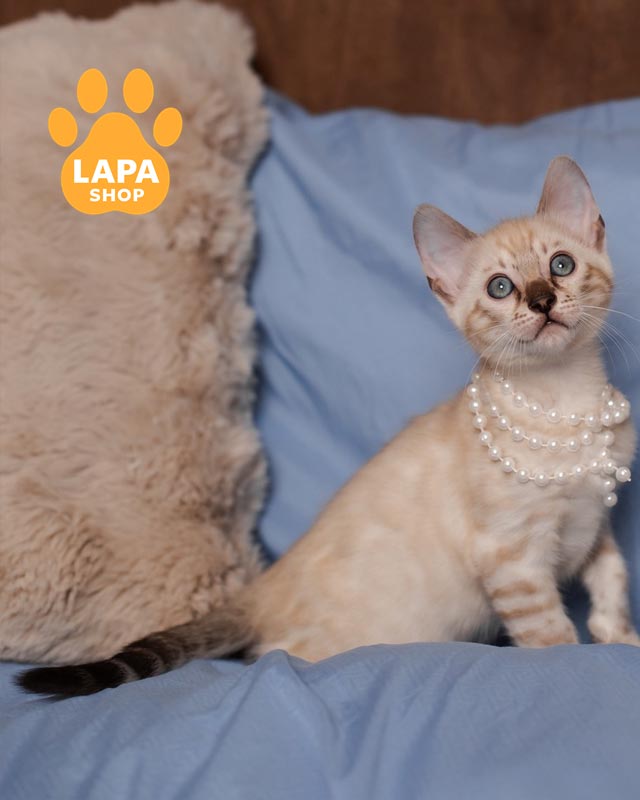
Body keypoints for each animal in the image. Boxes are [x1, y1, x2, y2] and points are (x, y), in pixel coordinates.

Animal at [18, 156, 639, 698]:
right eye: (501, 288)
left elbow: (613, 580)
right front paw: (579, 665)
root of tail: (262, 586)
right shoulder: (514, 559)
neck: (566, 403)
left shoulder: (595, 524)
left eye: (561, 265)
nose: (541, 300)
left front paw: (621, 641)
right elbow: (551, 635)